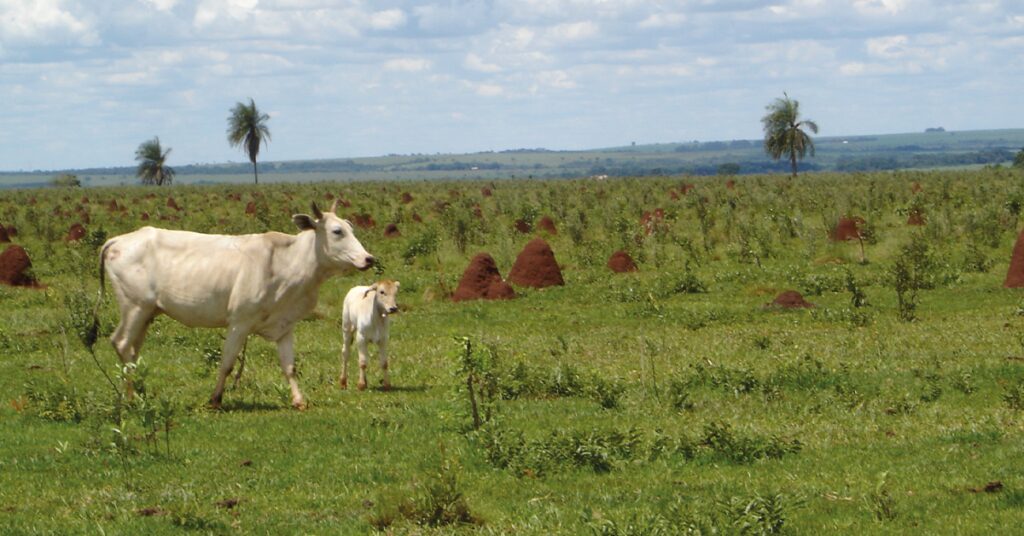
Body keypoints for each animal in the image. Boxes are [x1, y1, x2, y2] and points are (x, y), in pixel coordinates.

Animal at [96, 200, 372, 411]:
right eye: (337, 231)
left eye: (350, 228)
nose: (368, 259)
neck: (288, 261)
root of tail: (117, 241)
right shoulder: (239, 322)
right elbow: (227, 363)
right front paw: (215, 400)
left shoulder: (284, 326)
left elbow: (289, 367)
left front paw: (299, 400)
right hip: (135, 307)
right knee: (121, 343)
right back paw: (131, 398)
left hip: (147, 313)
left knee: (133, 350)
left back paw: (135, 393)